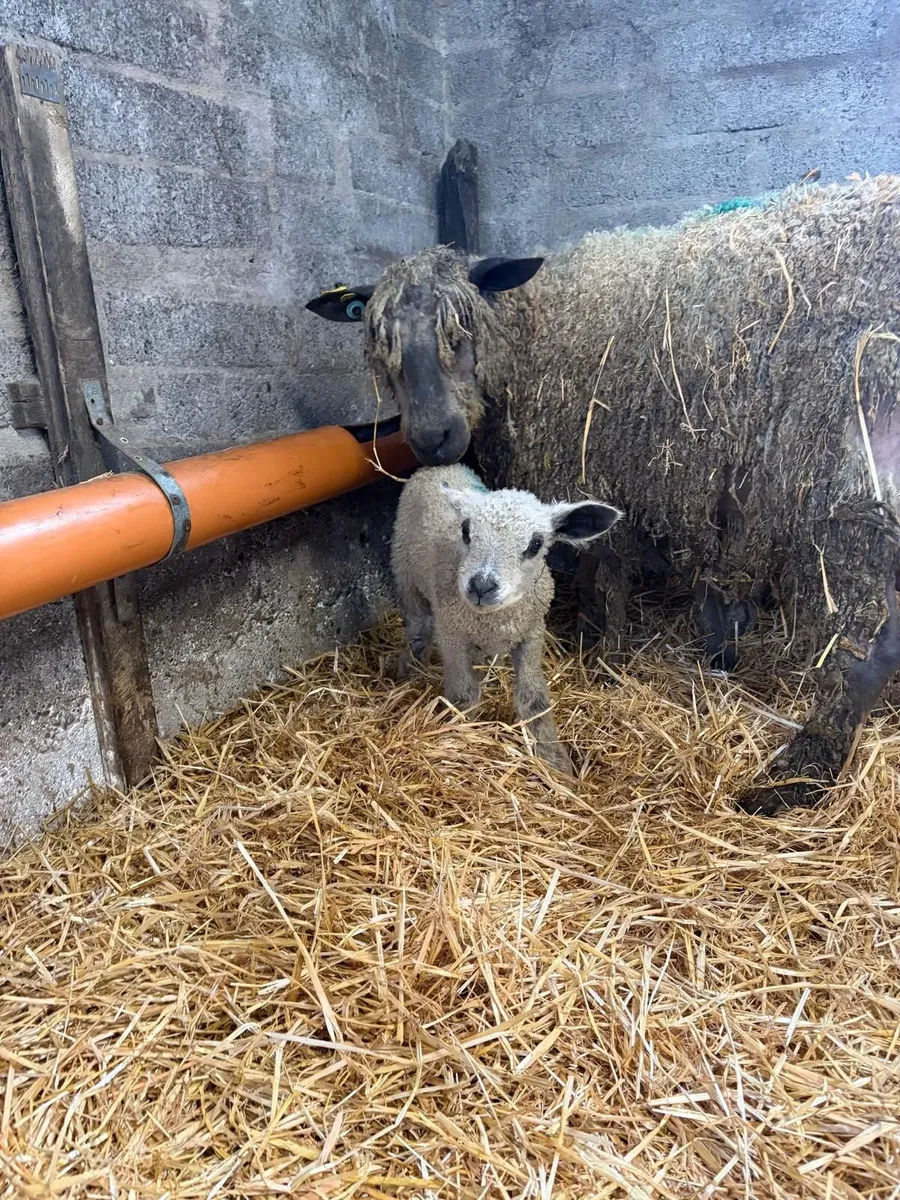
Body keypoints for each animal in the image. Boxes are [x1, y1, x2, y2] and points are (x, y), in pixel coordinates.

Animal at [390, 464, 621, 773]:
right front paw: (461, 736)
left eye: (536, 544)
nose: (481, 586)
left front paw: (555, 761)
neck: (494, 619)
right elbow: (463, 694)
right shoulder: (451, 633)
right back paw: (409, 667)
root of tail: (440, 466)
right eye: (466, 530)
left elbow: (533, 698)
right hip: (406, 573)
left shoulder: (532, 634)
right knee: (418, 626)